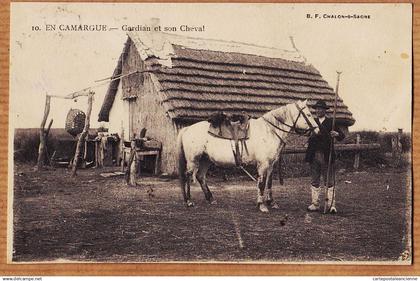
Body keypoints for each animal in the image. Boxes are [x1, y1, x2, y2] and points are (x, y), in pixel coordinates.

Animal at [176, 99, 318, 211]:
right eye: (309, 114)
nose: (317, 130)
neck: (269, 131)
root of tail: (187, 129)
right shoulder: (263, 164)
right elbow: (261, 183)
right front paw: (261, 205)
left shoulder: (271, 165)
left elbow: (269, 182)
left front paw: (271, 202)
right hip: (193, 159)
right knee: (188, 176)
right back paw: (189, 201)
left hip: (206, 160)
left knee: (200, 177)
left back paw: (211, 199)